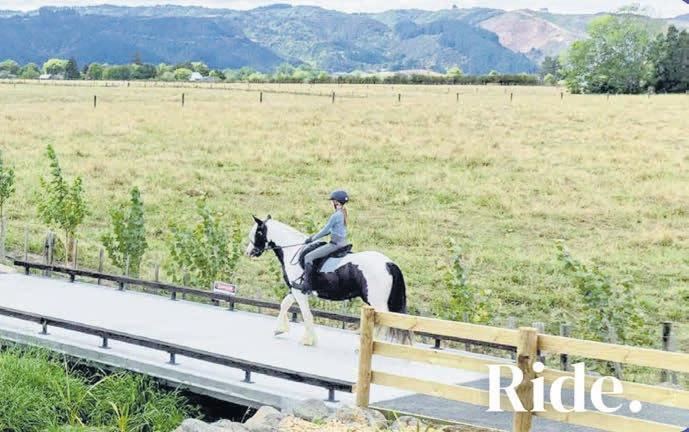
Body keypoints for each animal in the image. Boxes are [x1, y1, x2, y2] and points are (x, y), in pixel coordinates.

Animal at [245, 215, 413, 346]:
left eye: (258, 232)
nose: (249, 252)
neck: (294, 251)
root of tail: (389, 264)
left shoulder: (300, 292)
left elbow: (306, 314)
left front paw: (308, 340)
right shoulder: (296, 289)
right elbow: (285, 304)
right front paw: (280, 329)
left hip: (376, 302)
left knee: (383, 322)